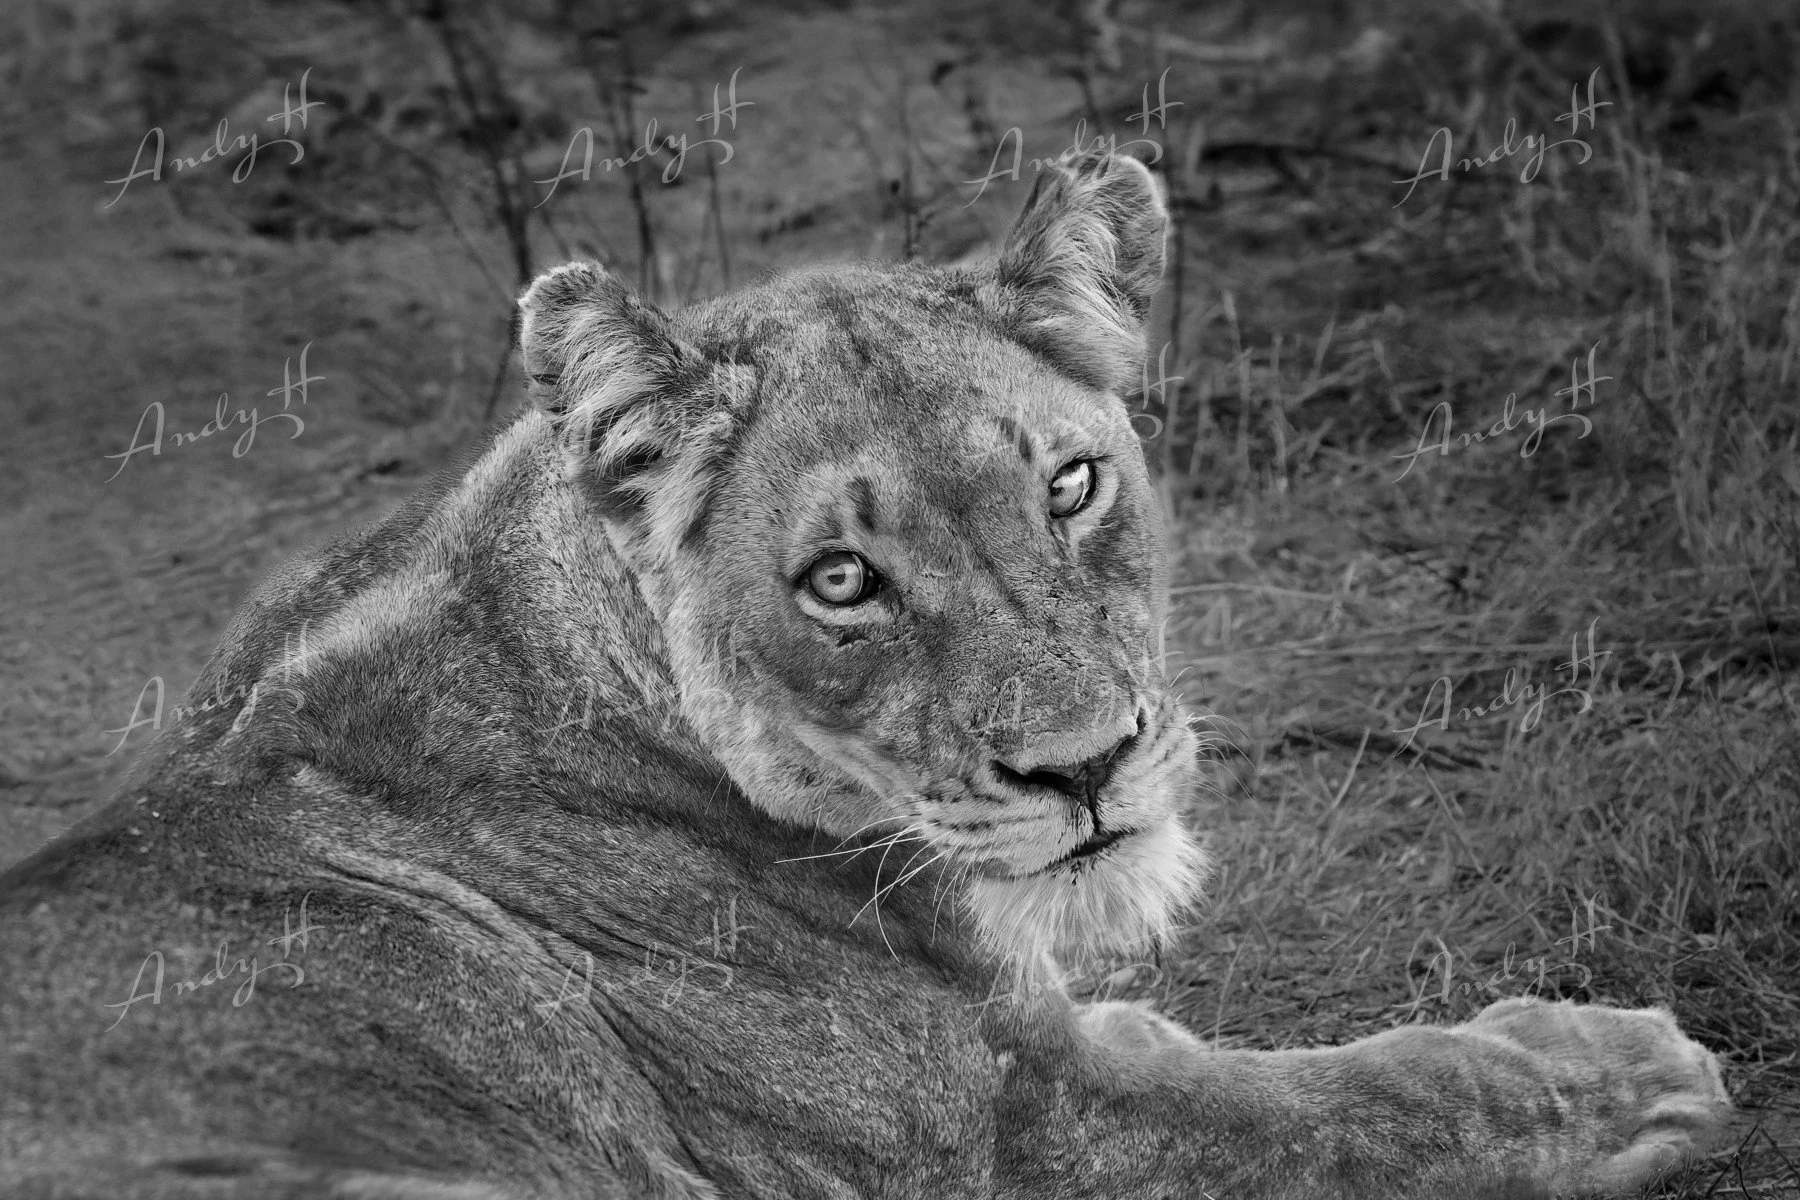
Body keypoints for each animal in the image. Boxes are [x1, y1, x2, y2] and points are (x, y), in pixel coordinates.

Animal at [0, 151, 1729, 1199]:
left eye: (1070, 485)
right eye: (843, 582)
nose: (1089, 769)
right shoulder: (1009, 1138)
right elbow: (1346, 1109)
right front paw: (1625, 1073)